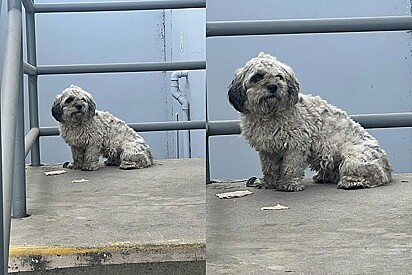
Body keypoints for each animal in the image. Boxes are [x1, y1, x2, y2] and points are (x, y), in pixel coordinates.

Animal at [229, 53, 392, 192]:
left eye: (279, 76)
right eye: (257, 77)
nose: (273, 87)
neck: (270, 114)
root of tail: (387, 166)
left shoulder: (296, 144)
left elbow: (290, 166)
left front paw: (288, 183)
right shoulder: (267, 149)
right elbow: (270, 167)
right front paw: (268, 182)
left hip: (353, 157)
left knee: (374, 175)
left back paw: (351, 181)